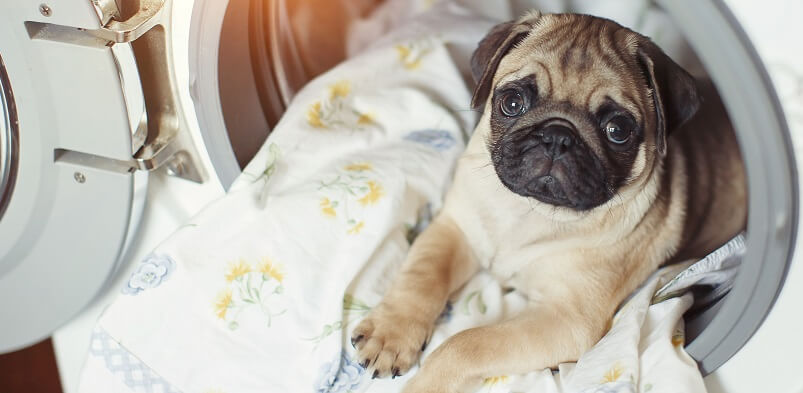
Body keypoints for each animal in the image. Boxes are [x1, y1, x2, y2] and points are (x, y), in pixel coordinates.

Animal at [352, 10, 748, 390]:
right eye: (512, 103)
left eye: (617, 130)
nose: (558, 136)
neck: (530, 212)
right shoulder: (455, 230)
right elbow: (421, 277)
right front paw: (391, 332)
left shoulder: (566, 320)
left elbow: (465, 345)